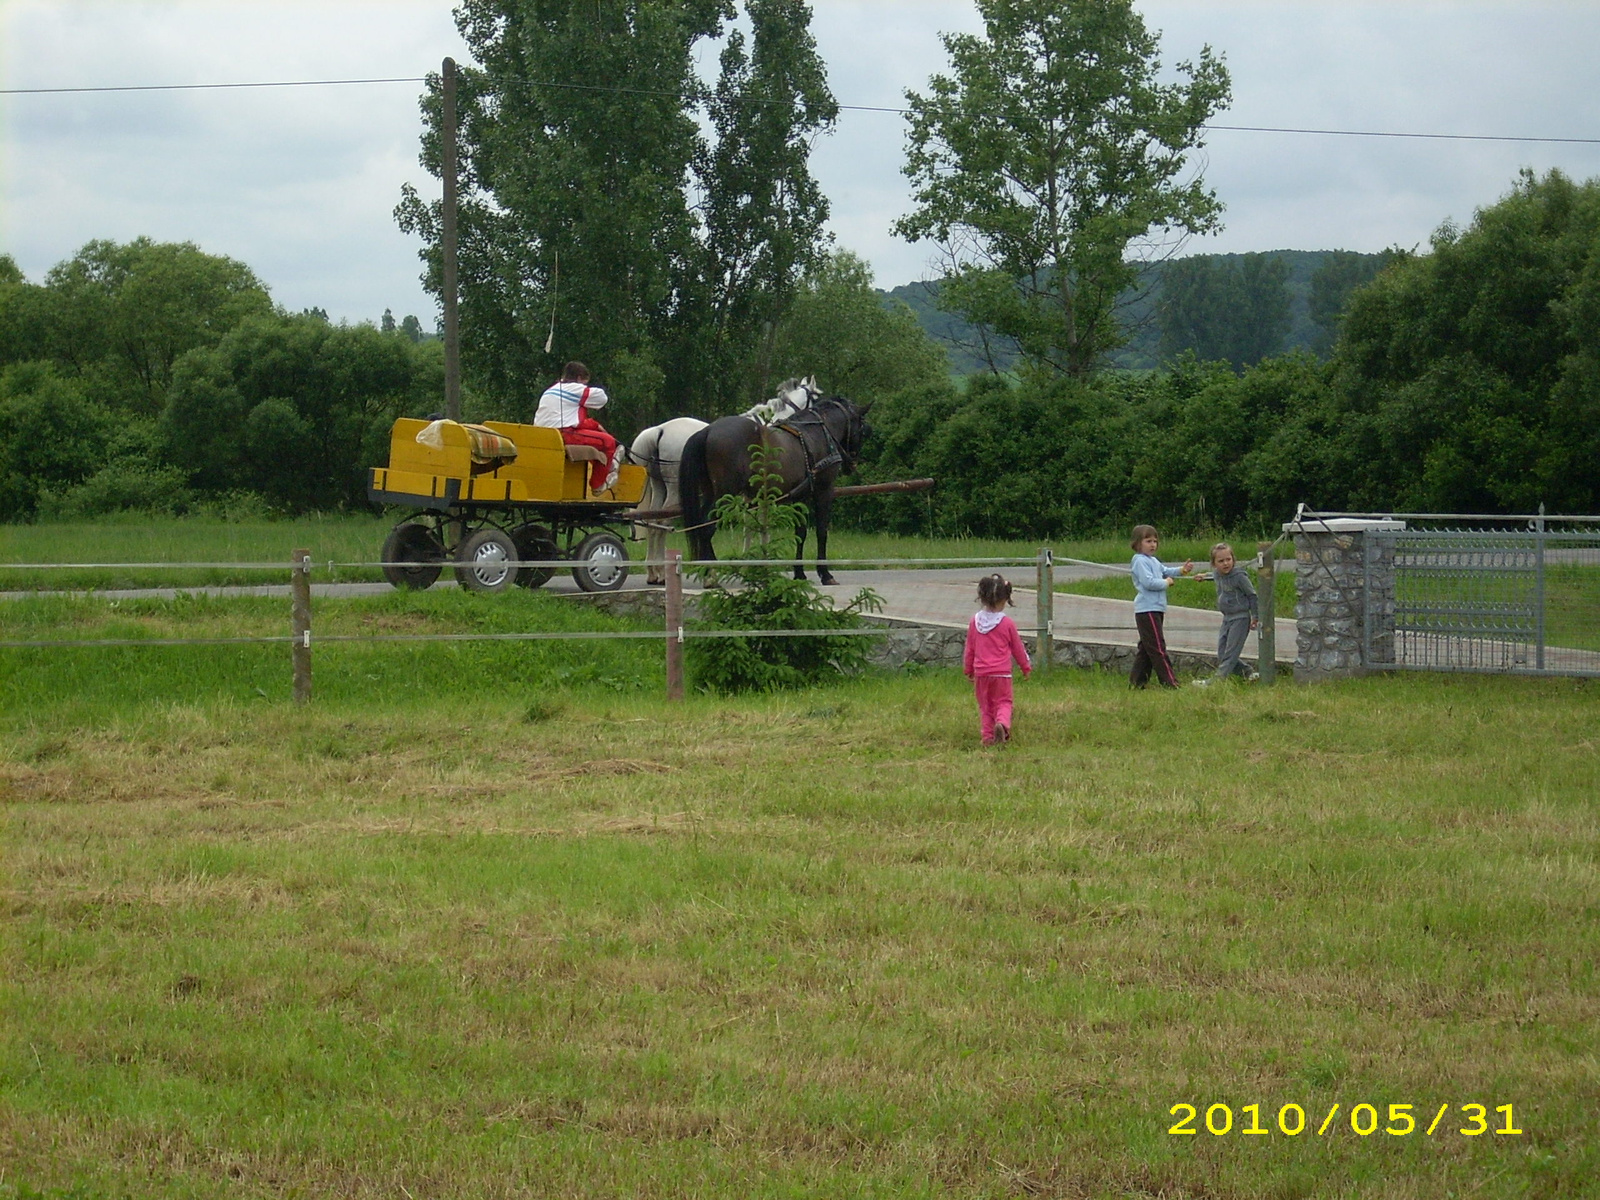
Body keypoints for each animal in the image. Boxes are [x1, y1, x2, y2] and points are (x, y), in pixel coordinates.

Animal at [630, 376, 819, 582]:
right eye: (817, 399)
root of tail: (660, 430)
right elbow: (757, 524)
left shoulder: (751, 496)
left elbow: (751, 525)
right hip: (675, 492)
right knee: (664, 524)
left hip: (660, 487)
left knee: (653, 522)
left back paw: (654, 571)